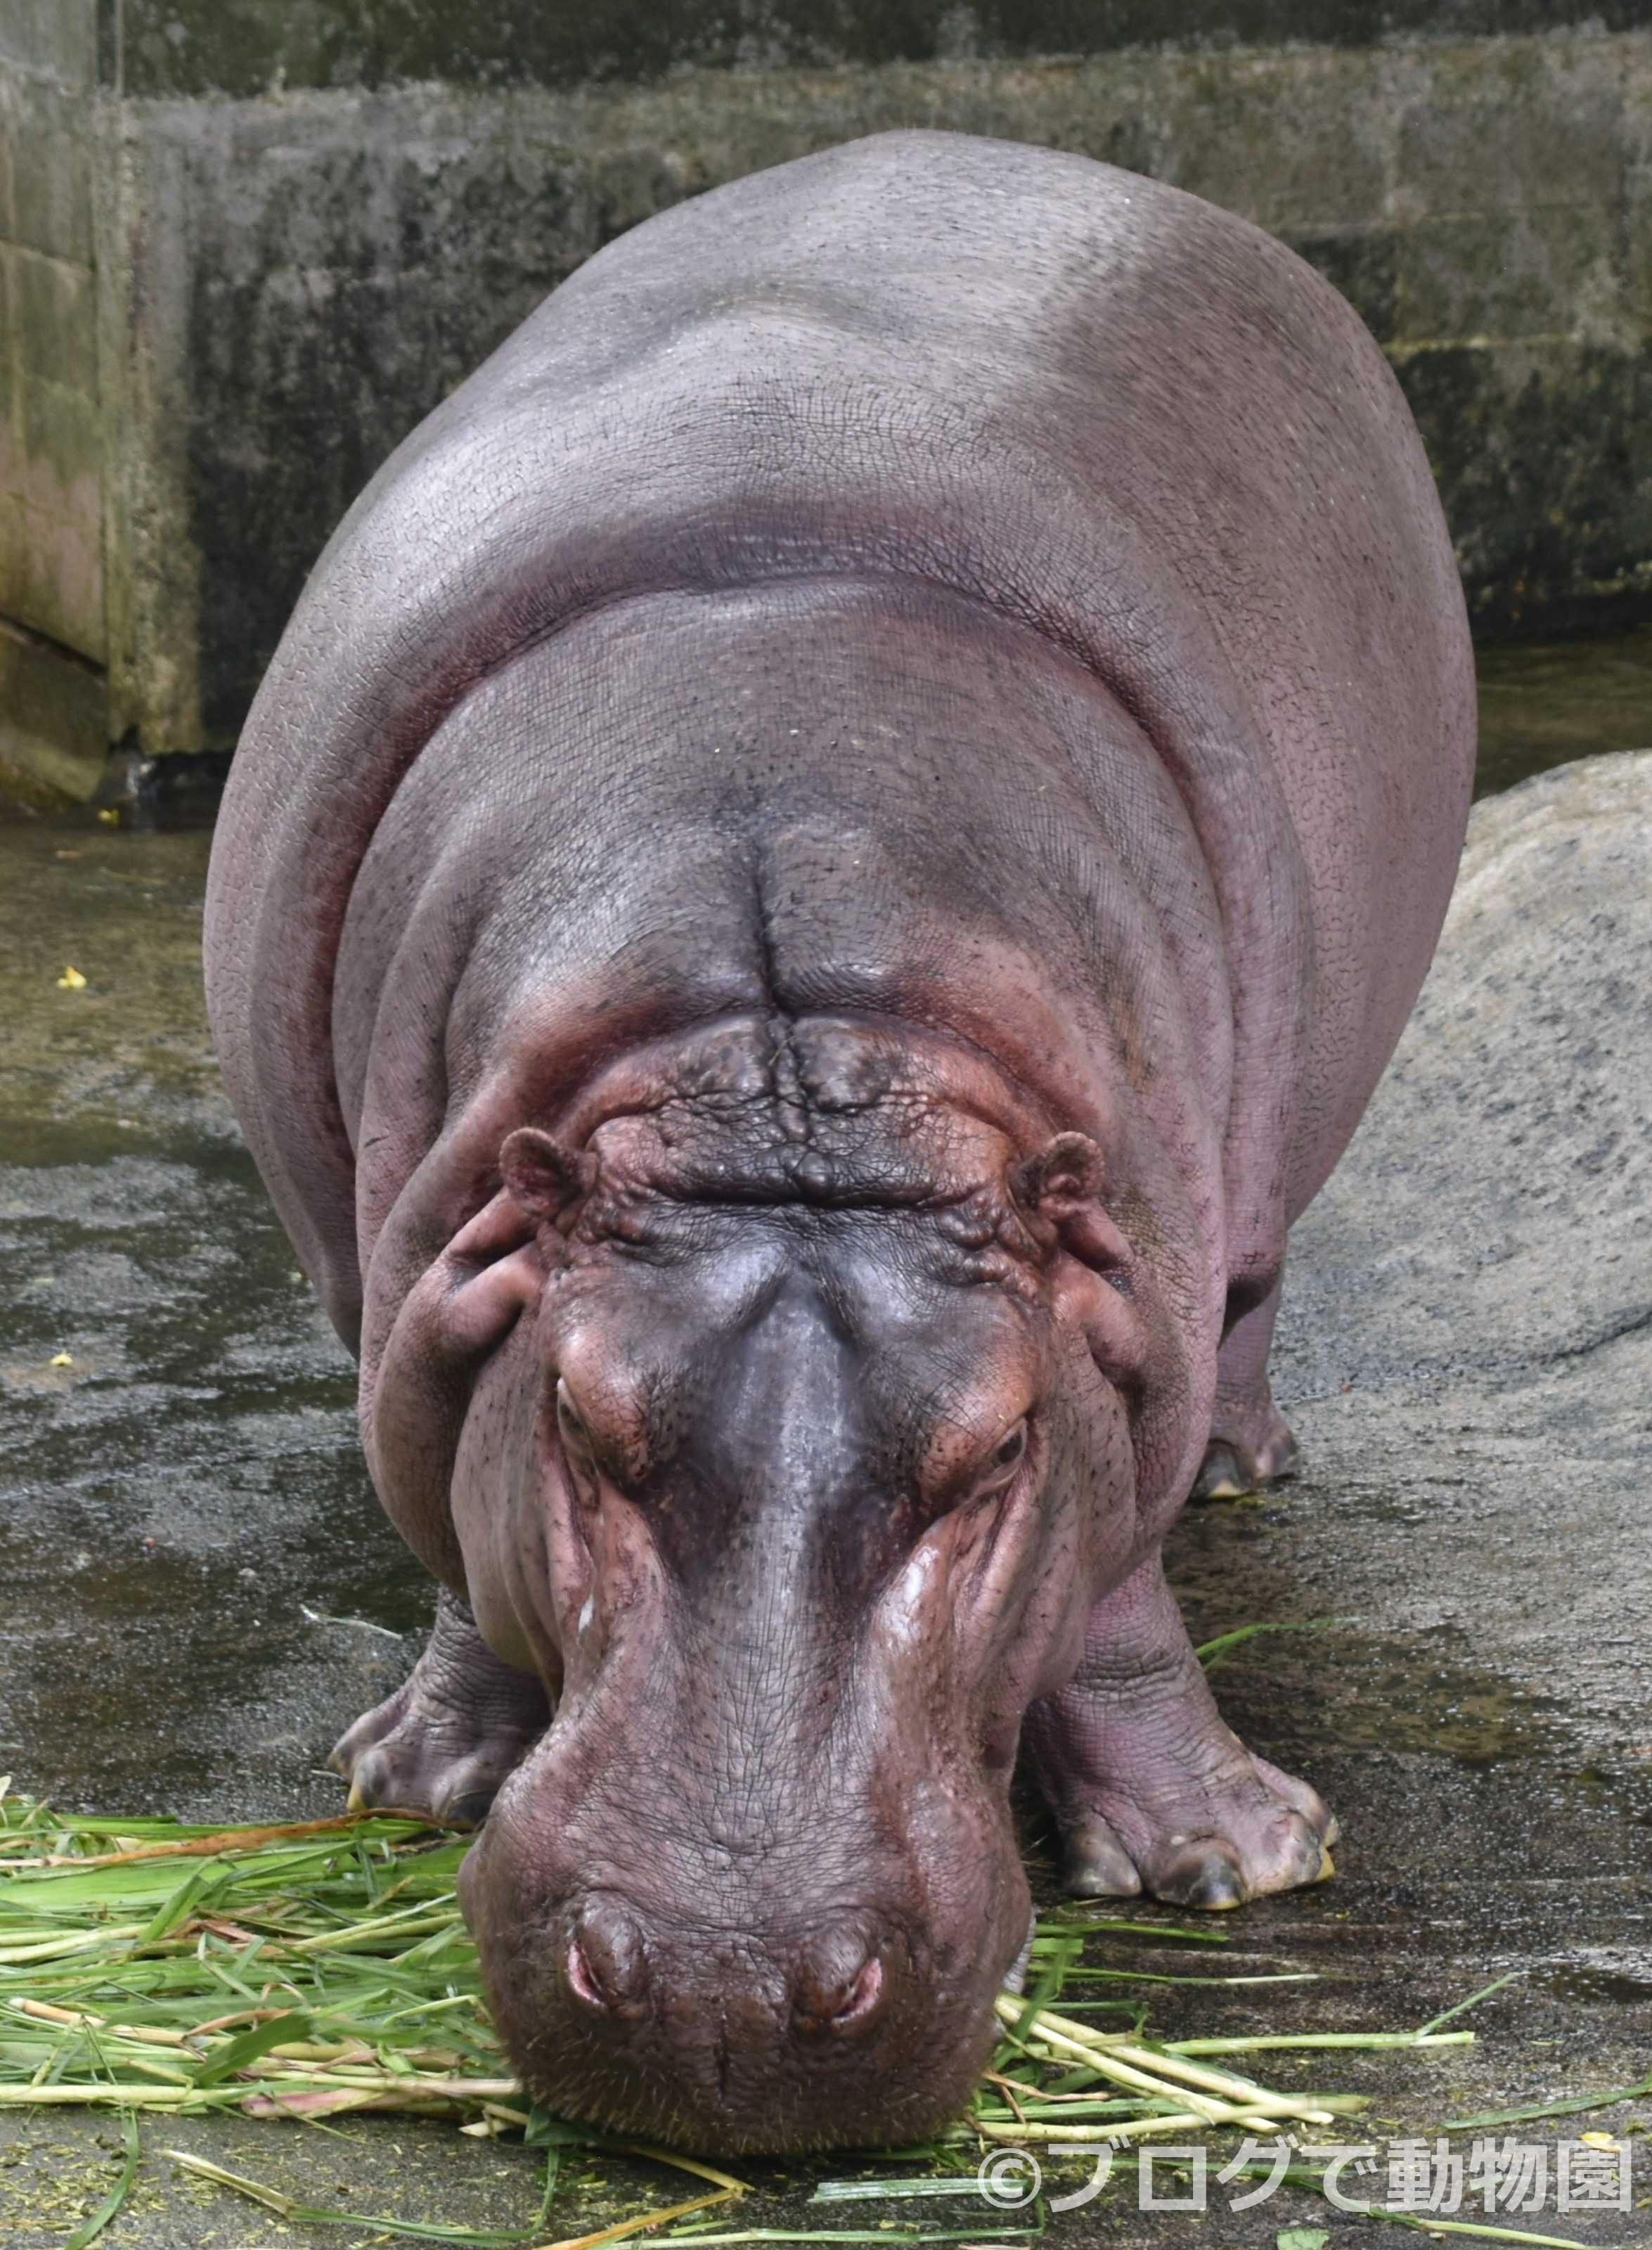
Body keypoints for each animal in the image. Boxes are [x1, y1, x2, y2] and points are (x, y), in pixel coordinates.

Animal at [200, 127, 1485, 2160]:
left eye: (994, 1451)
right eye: (582, 1420)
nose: (723, 1989)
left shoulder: (1110, 1281)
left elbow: (1114, 1594)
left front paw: (1234, 1863)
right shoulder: (410, 1266)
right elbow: (443, 1503)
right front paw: (415, 1773)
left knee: (1245, 1314)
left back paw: (1241, 1474)